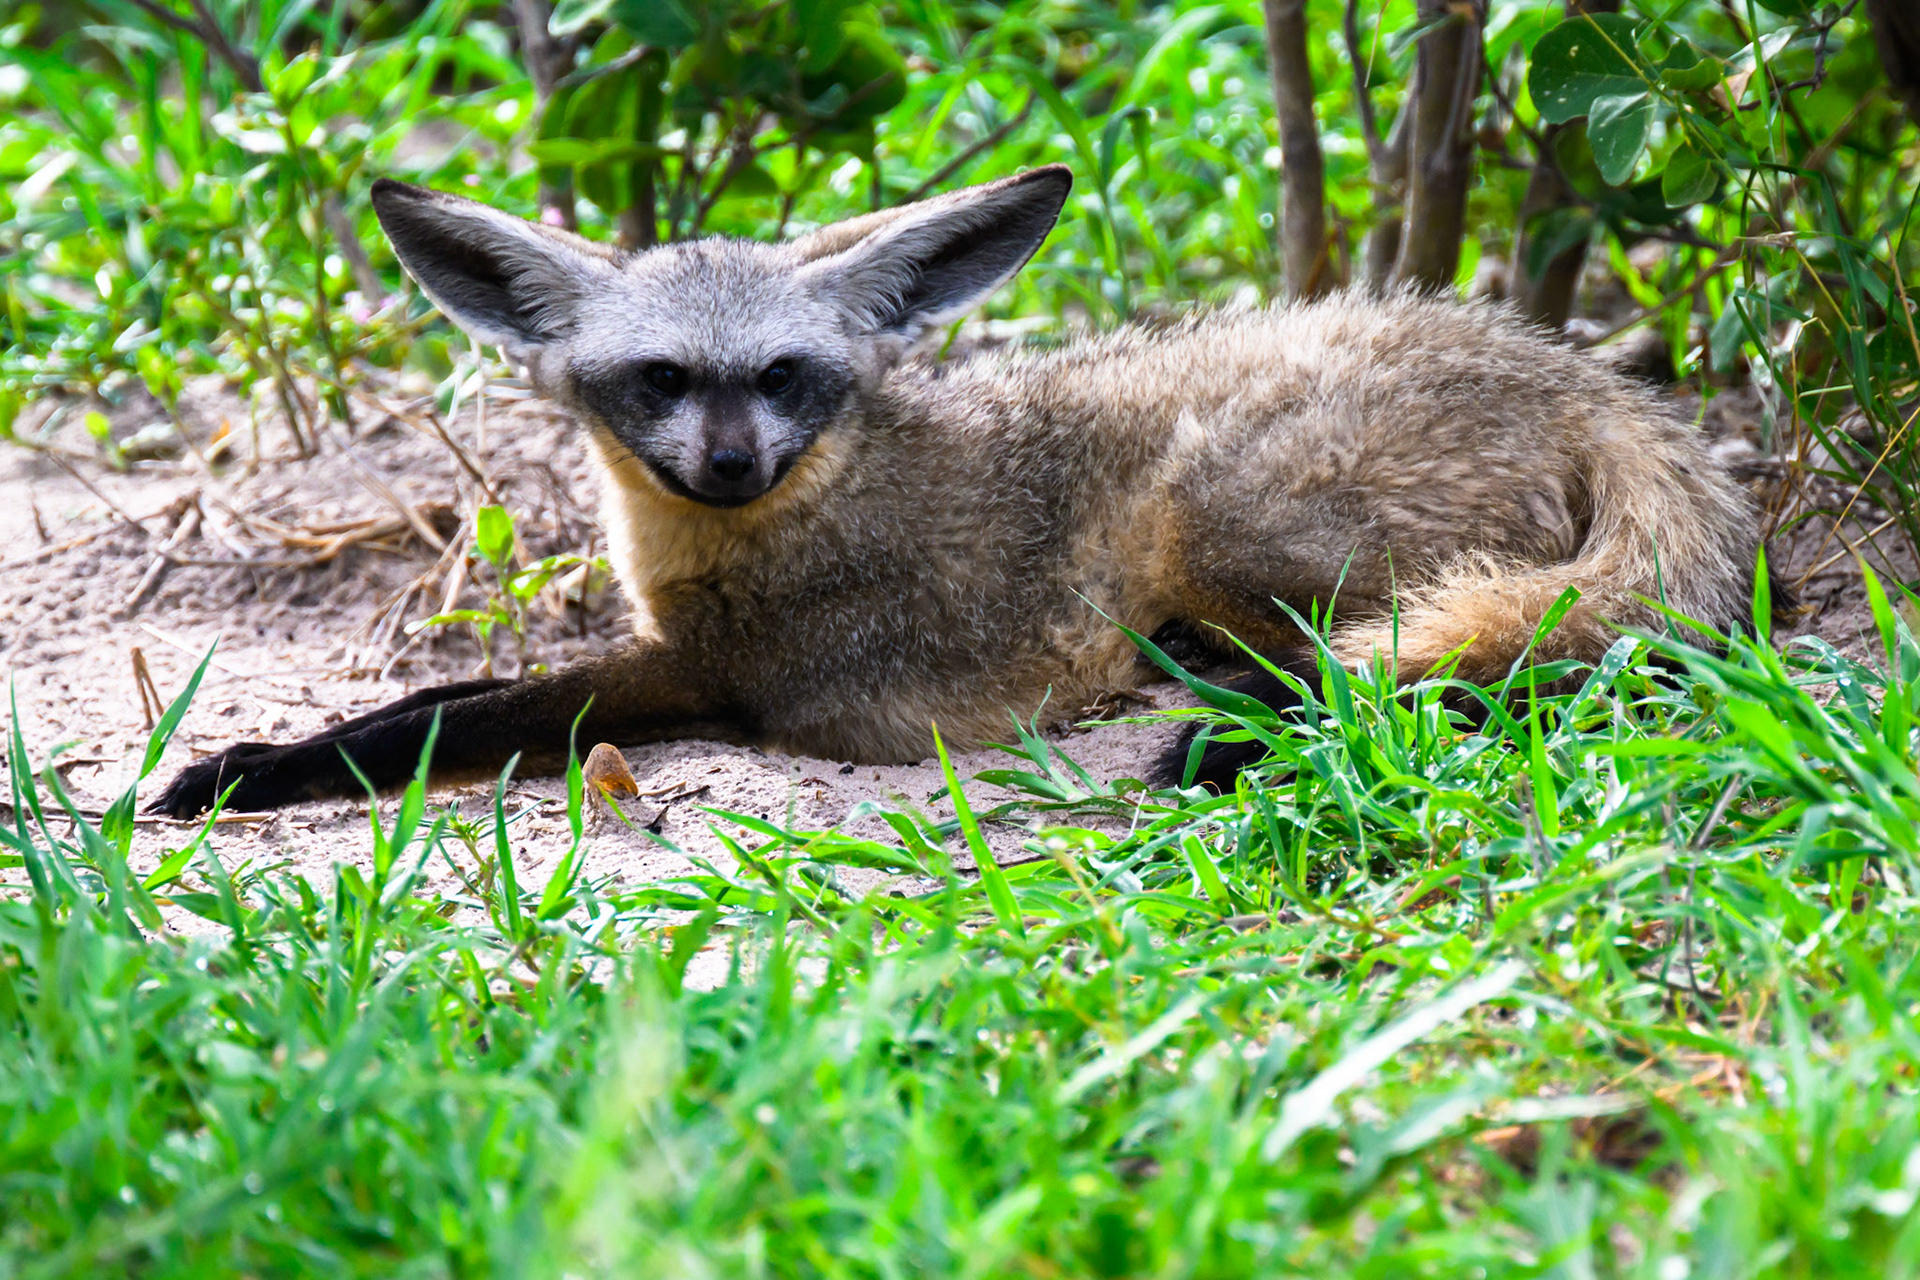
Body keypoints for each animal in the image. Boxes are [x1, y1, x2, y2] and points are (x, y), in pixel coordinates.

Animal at [152, 164, 1764, 818]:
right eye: (661, 380)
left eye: (787, 376)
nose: (730, 466)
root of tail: (1583, 375)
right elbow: (436, 694)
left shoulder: (720, 679)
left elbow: (442, 717)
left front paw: (246, 770)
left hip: (1206, 520)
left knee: (1460, 665)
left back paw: (1236, 735)